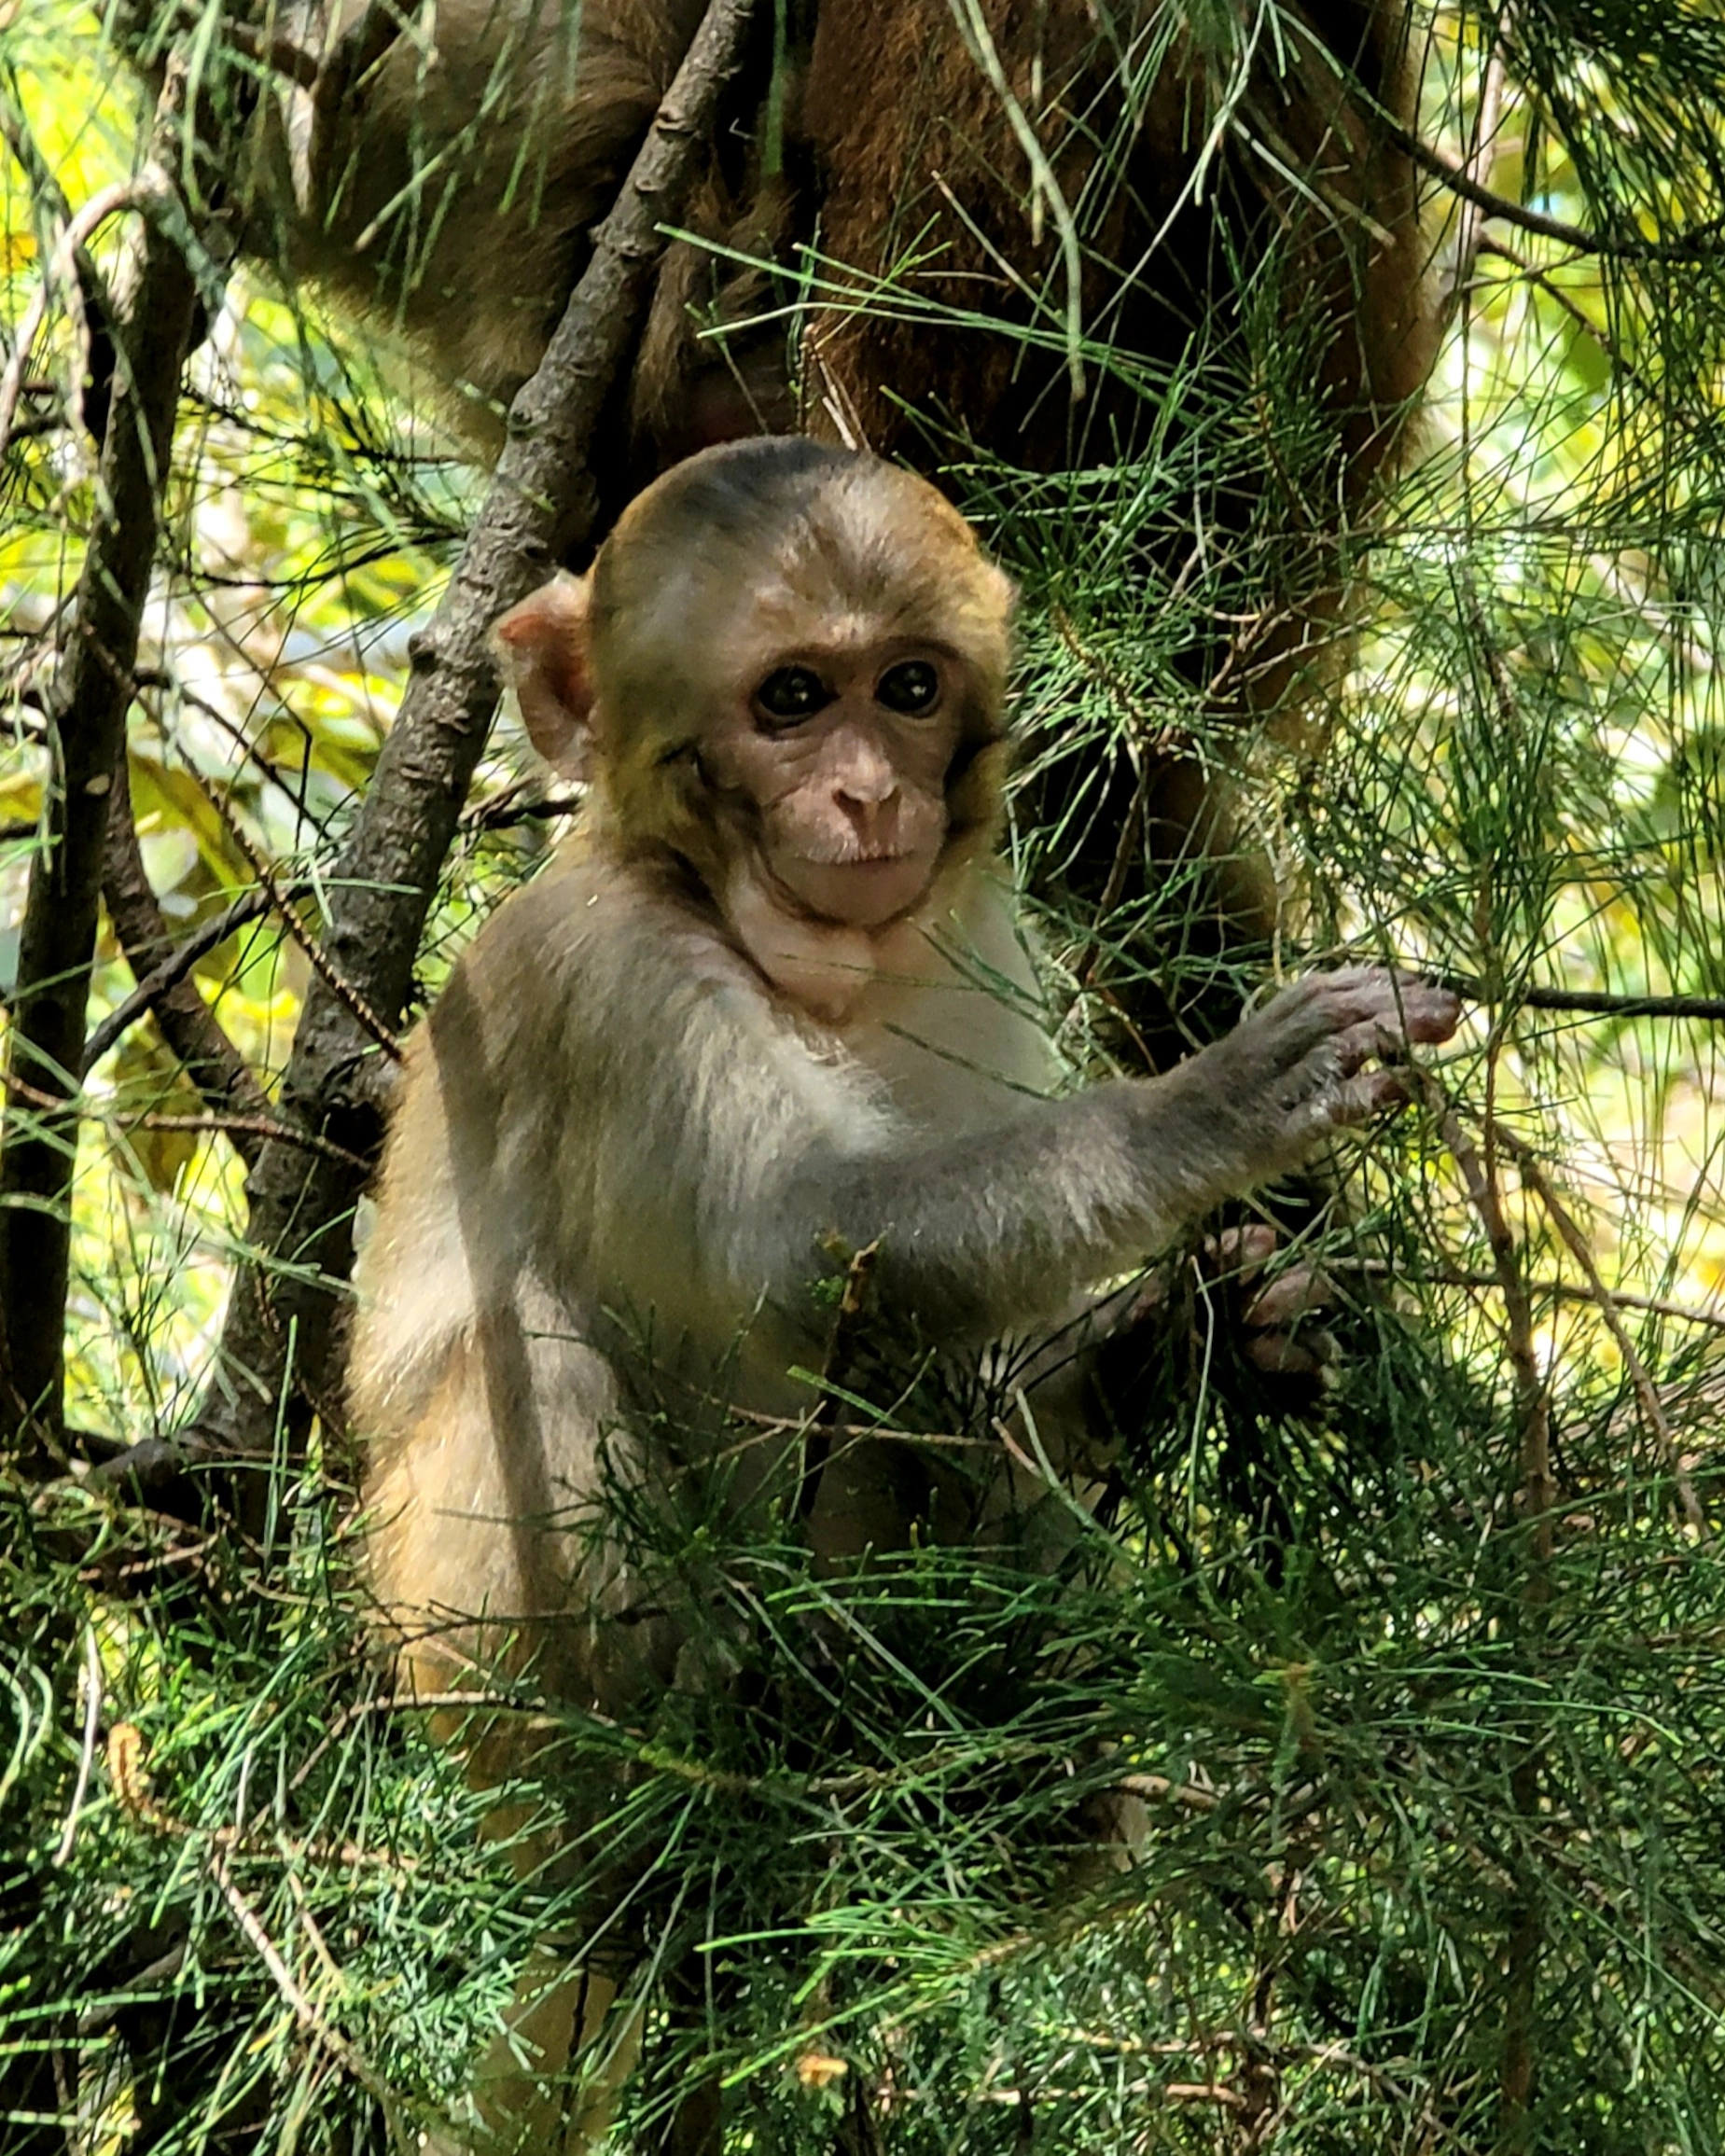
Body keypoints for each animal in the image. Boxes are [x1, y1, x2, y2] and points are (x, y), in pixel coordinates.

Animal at [347, 436, 1462, 2145]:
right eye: (793, 698)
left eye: (912, 687)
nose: (869, 793)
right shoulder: (605, 969)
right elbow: (812, 1245)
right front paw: (1212, 1105)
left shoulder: (974, 943)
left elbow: (1000, 1355)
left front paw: (1214, 1336)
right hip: (459, 1682)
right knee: (527, 1358)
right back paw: (671, 1808)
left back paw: (995, 1791)